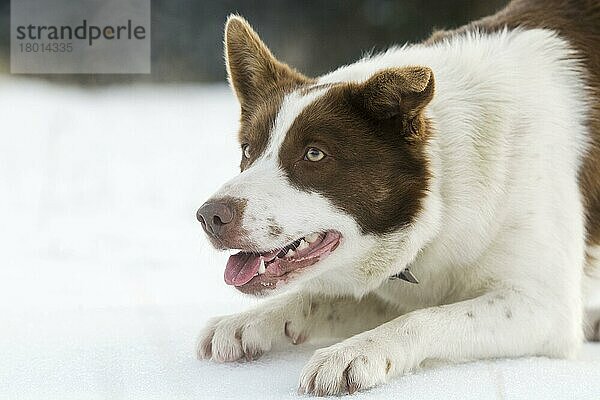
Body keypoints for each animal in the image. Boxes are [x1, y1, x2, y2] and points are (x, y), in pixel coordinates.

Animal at [195, 0, 596, 394]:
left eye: (314, 154)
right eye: (248, 150)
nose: (209, 216)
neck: (444, 194)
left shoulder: (544, 308)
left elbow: (424, 317)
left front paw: (355, 352)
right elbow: (320, 298)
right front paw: (249, 321)